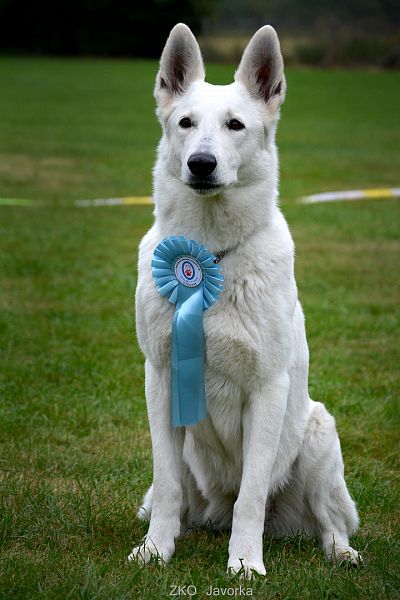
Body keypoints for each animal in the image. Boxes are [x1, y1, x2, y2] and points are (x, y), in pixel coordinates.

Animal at [130, 24, 360, 576]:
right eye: (186, 123)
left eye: (235, 125)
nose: (201, 164)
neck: (210, 255)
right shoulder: (161, 380)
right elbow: (167, 487)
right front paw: (155, 550)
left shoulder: (267, 390)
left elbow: (251, 497)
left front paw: (246, 565)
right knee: (172, 499)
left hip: (319, 438)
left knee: (330, 522)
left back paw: (341, 552)